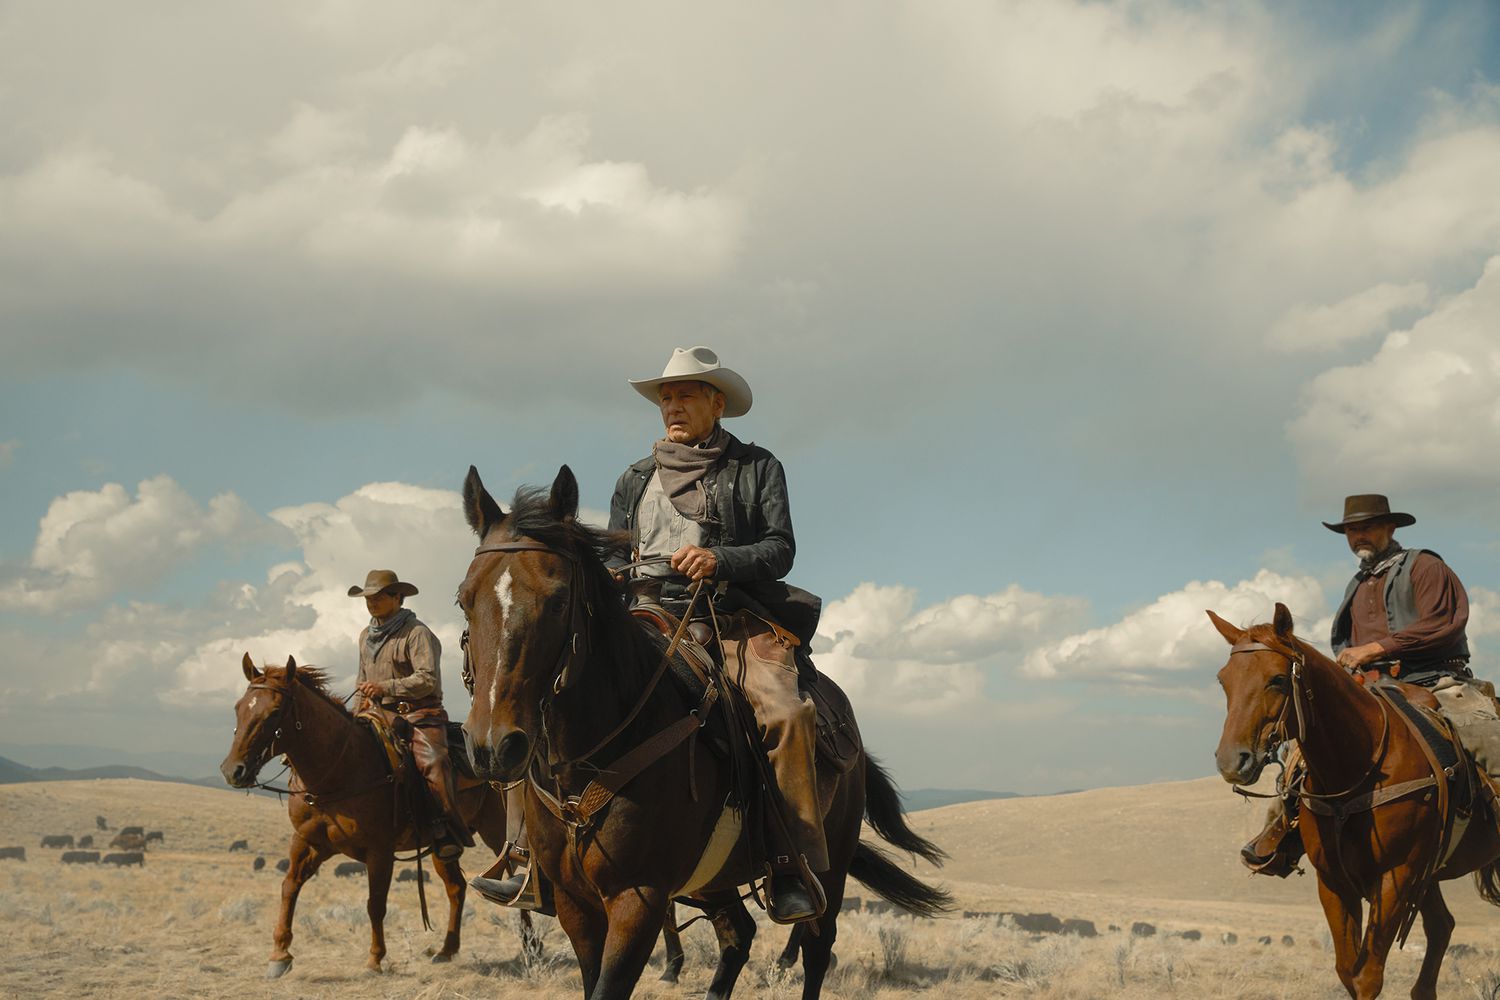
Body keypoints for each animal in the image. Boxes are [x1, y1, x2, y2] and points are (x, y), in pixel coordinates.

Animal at [219, 656, 528, 977]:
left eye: (275, 712)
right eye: (238, 707)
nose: (233, 770)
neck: (340, 770)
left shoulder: (379, 851)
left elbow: (375, 903)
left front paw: (375, 959)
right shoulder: (308, 843)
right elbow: (289, 888)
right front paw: (279, 955)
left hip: (497, 833)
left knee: (513, 879)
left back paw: (530, 948)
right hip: (443, 847)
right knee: (456, 887)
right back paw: (446, 950)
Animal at [456, 470, 948, 1000]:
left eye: (558, 599)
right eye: (464, 599)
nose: (495, 746)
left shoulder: (638, 899)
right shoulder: (575, 904)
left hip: (830, 865)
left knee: (817, 947)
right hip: (713, 881)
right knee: (739, 935)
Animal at [1206, 602, 1500, 1000]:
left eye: (1278, 679)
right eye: (1224, 680)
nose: (1231, 761)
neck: (1358, 766)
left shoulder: (1395, 878)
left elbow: (1367, 976)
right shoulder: (1334, 882)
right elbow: (1347, 971)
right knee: (1442, 926)